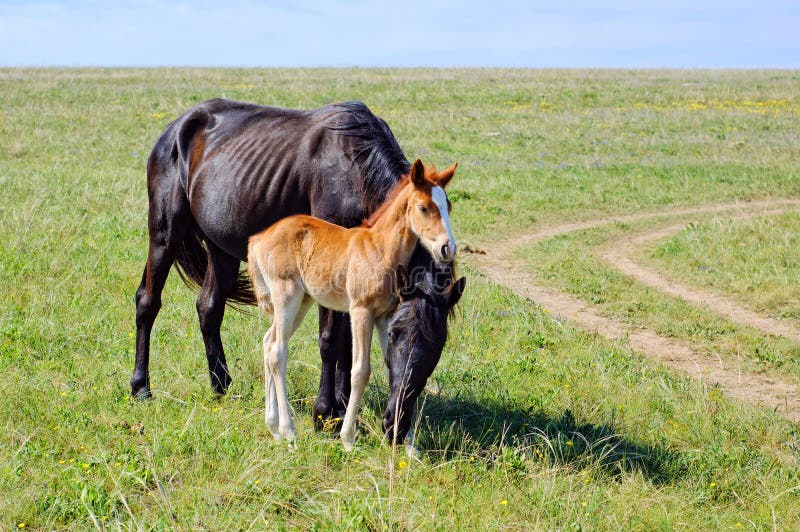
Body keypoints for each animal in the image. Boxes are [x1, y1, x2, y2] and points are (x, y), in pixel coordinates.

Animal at [132, 98, 456, 436]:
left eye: (439, 345)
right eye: (394, 334)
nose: (396, 424)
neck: (355, 167)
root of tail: (177, 126)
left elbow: (348, 345)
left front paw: (343, 408)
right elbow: (330, 341)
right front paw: (324, 413)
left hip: (222, 250)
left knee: (208, 307)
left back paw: (221, 386)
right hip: (165, 234)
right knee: (148, 302)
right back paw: (141, 387)